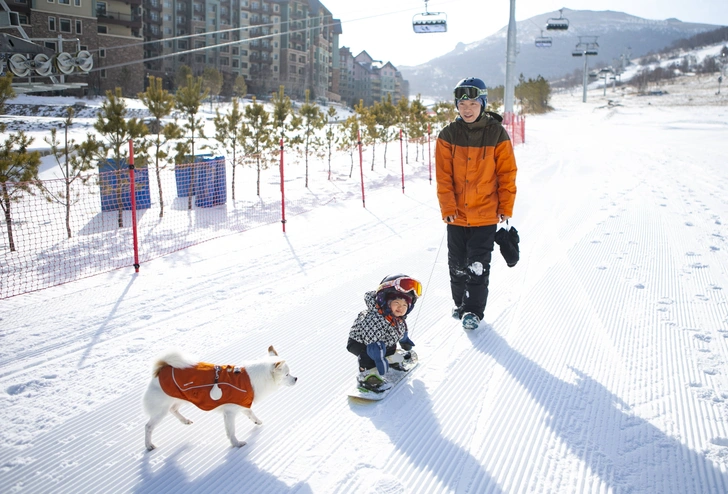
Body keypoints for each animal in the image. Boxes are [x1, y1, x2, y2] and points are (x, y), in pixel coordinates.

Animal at [142, 346, 296, 450]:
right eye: (287, 374)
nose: (296, 379)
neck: (250, 379)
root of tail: (160, 370)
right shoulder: (230, 412)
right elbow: (231, 431)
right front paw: (236, 443)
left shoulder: (242, 404)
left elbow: (250, 412)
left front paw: (257, 421)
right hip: (161, 410)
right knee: (148, 426)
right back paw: (149, 445)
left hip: (180, 398)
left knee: (173, 410)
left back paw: (184, 420)